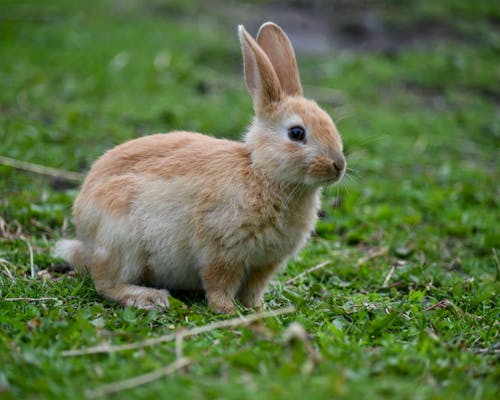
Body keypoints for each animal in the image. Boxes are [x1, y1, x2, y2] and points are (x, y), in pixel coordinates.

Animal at [52, 22, 346, 316]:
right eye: (297, 133)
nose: (339, 166)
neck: (263, 173)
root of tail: (84, 233)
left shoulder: (264, 264)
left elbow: (253, 289)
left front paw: (257, 309)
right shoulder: (221, 251)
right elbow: (219, 284)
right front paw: (227, 311)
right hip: (122, 241)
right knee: (105, 283)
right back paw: (149, 298)